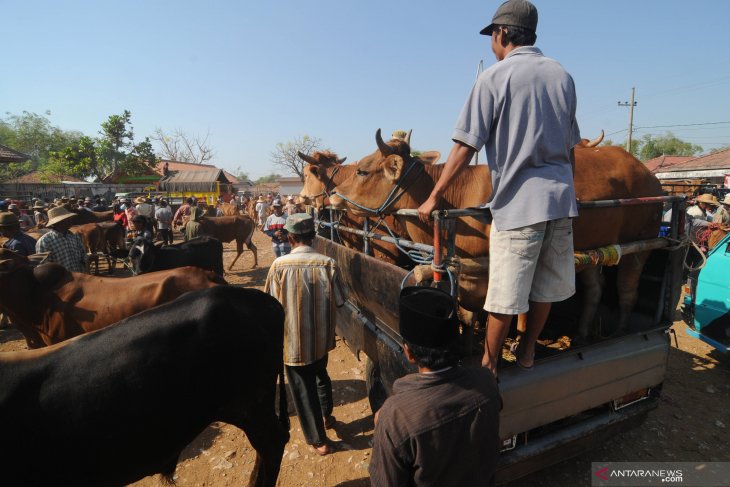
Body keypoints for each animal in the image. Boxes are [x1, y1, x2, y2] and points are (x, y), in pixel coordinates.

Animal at [330, 127, 660, 338]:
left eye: (362, 170)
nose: (332, 195)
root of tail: (647, 173)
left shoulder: (485, 276)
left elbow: (487, 314)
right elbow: (469, 314)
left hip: (642, 245)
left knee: (627, 289)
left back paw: (620, 330)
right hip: (595, 248)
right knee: (594, 289)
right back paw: (581, 333)